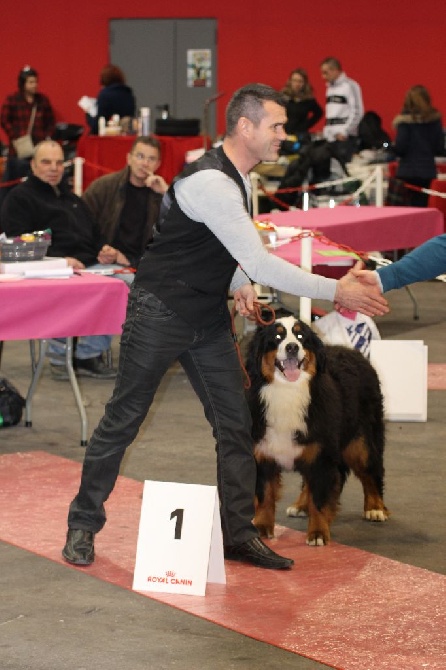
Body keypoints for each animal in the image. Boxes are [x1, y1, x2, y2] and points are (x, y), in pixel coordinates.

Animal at [246, 314, 388, 544]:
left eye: (300, 336)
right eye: (277, 337)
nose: (292, 347)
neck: (287, 391)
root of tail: (354, 352)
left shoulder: (321, 454)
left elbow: (320, 499)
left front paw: (318, 533)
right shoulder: (263, 453)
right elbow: (265, 495)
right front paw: (261, 527)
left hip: (361, 441)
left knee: (371, 472)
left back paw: (375, 508)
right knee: (309, 481)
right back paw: (301, 505)